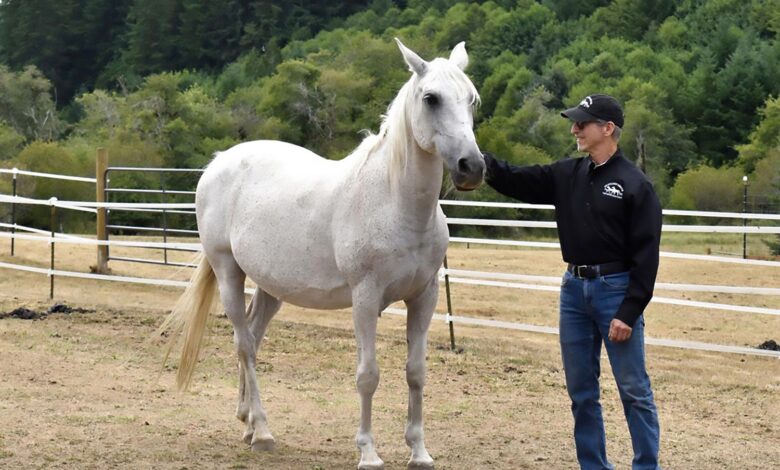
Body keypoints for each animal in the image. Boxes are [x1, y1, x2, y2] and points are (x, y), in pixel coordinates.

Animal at [161, 40, 484, 470]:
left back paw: (247, 422)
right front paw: (368, 452)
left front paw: (419, 452)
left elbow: (416, 372)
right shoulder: (365, 299)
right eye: (431, 98)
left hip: (271, 287)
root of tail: (219, 162)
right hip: (228, 272)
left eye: (471, 100)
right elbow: (368, 374)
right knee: (244, 344)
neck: (393, 203)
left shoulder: (424, 297)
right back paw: (262, 432)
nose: (472, 166)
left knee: (251, 338)